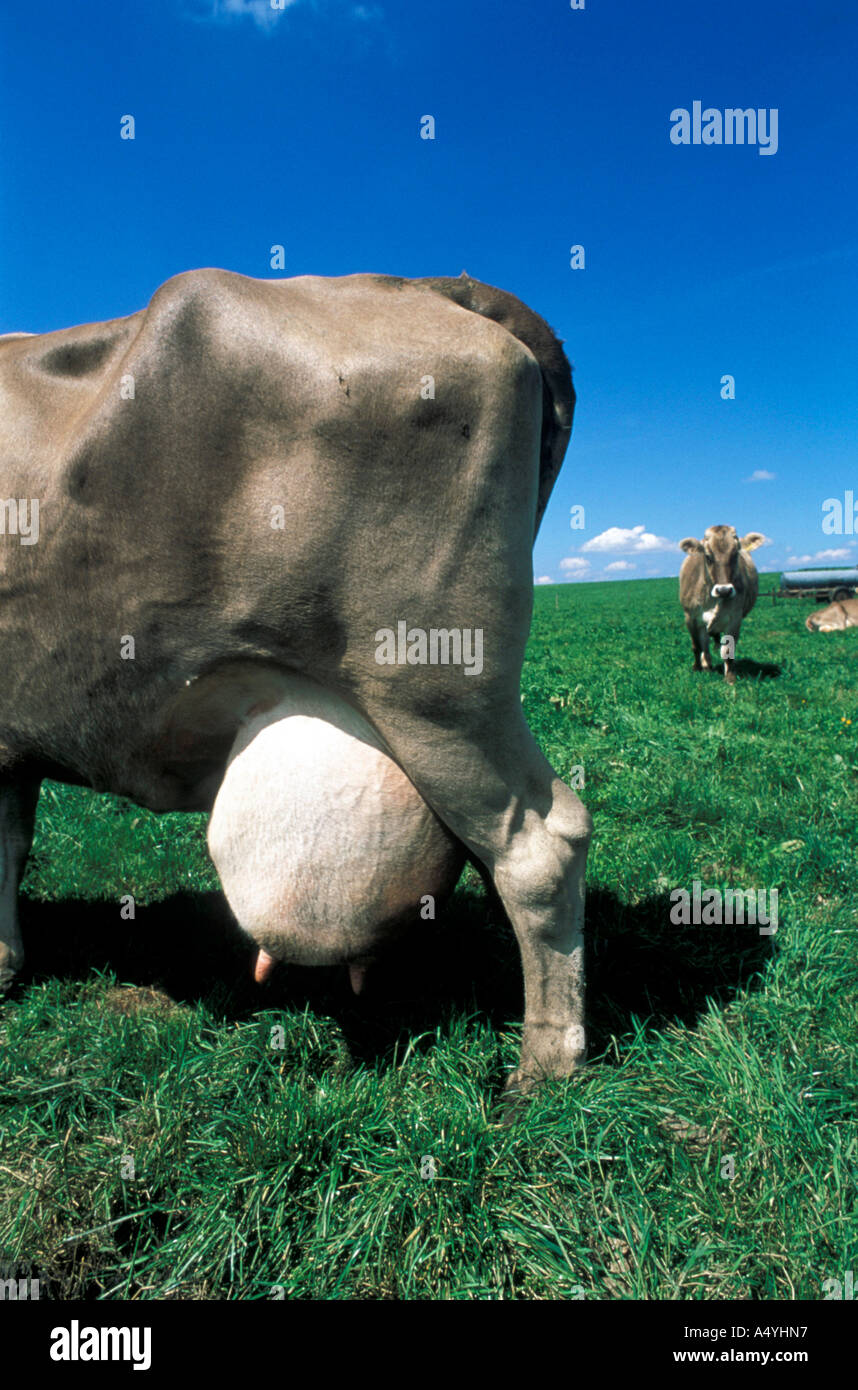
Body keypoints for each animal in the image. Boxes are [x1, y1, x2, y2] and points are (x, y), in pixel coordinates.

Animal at [678, 522, 767, 681]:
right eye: (708, 557)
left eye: (735, 555)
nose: (724, 590)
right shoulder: (690, 617)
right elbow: (696, 645)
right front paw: (696, 668)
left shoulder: (735, 619)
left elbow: (728, 651)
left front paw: (730, 678)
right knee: (704, 643)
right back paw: (706, 666)